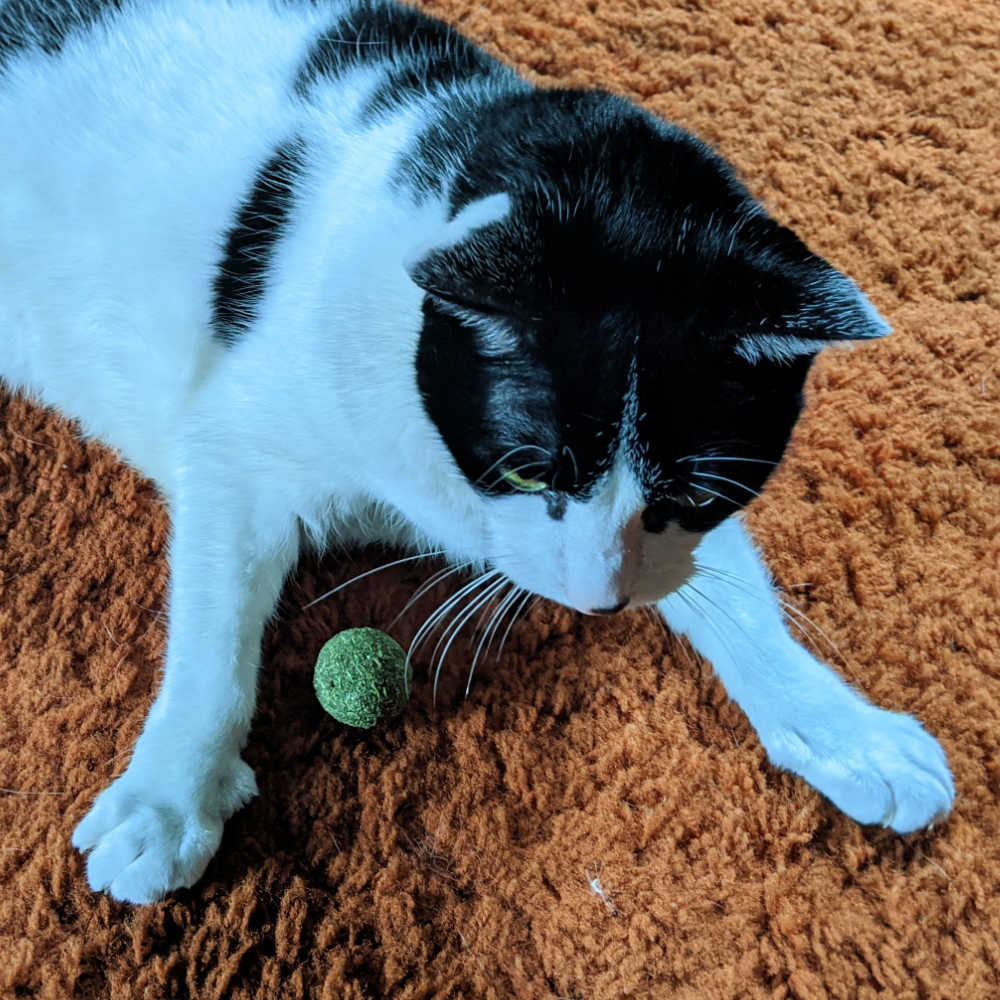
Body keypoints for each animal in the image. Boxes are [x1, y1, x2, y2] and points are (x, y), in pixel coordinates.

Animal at [0, 0, 952, 908]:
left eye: (691, 496)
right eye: (528, 469)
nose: (602, 603)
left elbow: (729, 593)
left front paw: (843, 729)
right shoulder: (232, 444)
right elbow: (215, 638)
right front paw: (171, 796)